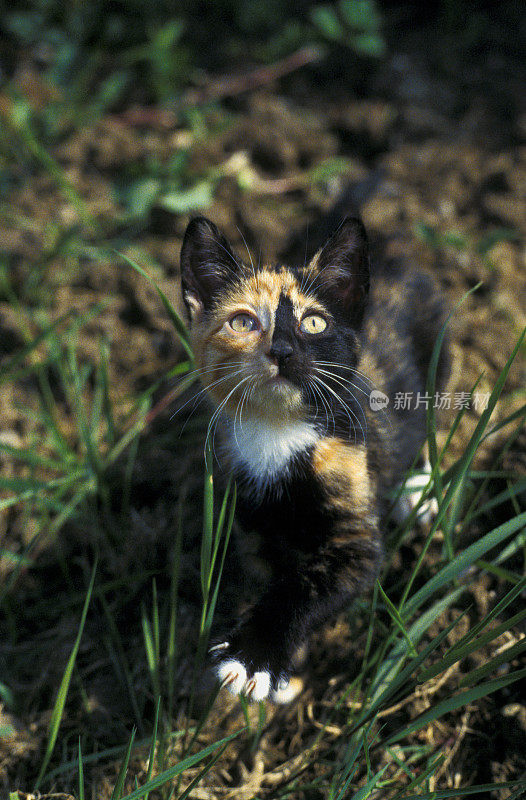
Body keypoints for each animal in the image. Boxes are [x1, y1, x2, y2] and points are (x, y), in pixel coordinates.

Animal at [180, 216, 450, 704]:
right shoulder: (249, 525)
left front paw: (253, 659)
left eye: (314, 322)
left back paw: (416, 488)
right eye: (243, 321)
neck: (278, 433)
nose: (283, 351)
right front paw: (286, 673)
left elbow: (306, 588)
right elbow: (273, 578)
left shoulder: (355, 533)